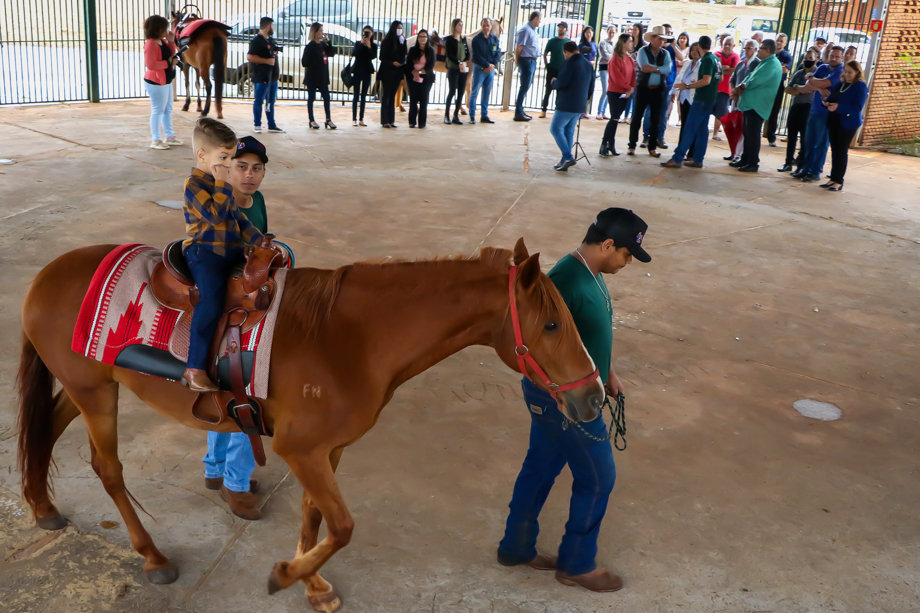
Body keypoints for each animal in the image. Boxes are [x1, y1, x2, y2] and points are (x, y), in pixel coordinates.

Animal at [18, 238, 604, 612]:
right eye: (553, 324)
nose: (595, 397)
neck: (349, 338)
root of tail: (47, 274)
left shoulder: (328, 449)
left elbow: (314, 515)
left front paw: (313, 584)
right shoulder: (301, 450)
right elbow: (342, 526)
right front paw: (285, 576)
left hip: (89, 386)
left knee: (46, 430)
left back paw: (43, 507)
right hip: (95, 394)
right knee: (108, 469)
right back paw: (153, 556)